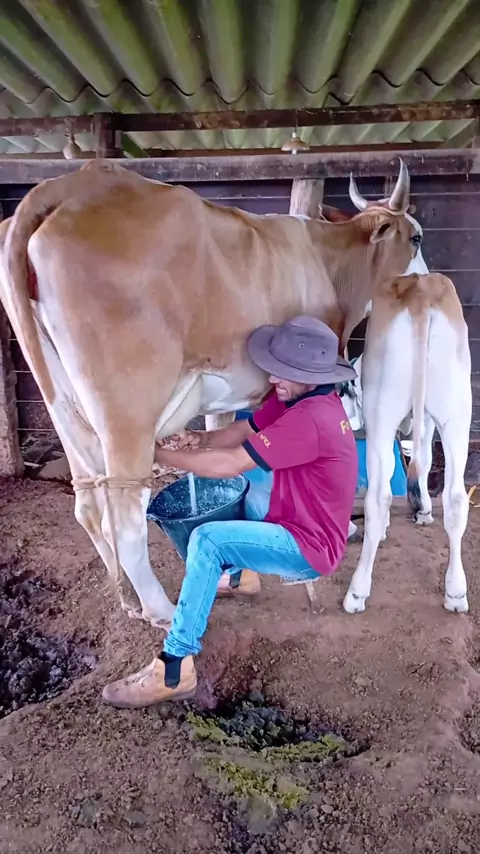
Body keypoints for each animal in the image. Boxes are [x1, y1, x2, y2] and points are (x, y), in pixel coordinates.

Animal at [0, 158, 422, 629]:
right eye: (416, 236)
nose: (424, 278)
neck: (330, 263)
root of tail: (73, 183)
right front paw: (339, 528)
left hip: (63, 407)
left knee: (88, 506)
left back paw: (126, 598)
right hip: (125, 412)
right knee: (123, 521)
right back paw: (160, 609)